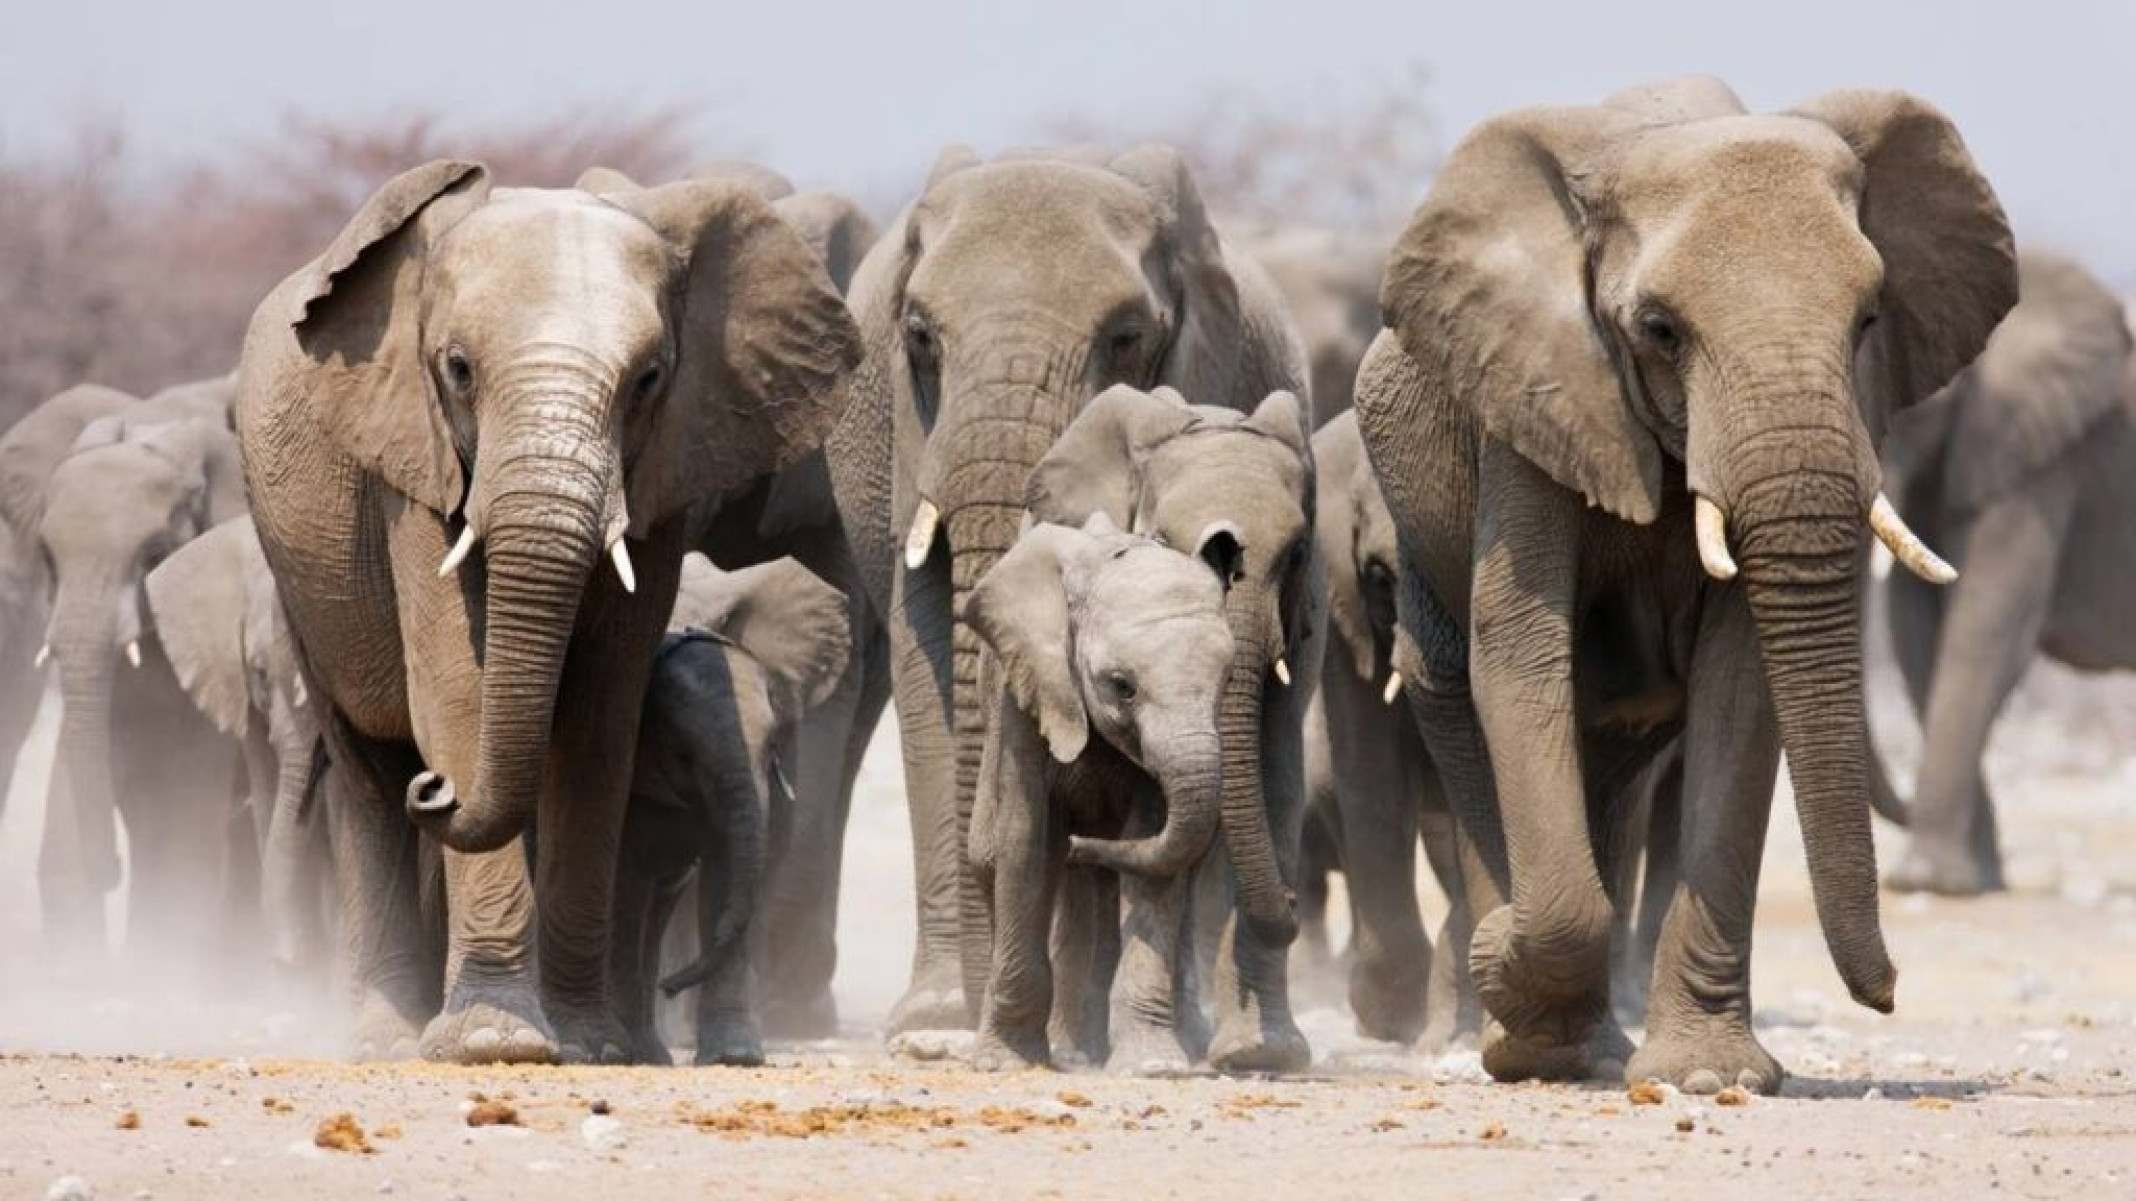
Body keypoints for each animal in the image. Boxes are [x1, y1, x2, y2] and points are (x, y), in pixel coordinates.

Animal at [611, 553, 850, 1066]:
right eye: (681, 752)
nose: (671, 986)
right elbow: (624, 874)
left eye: (773, 745)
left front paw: (734, 1057)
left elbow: (730, 869)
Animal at [964, 514, 1237, 1073]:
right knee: (989, 858)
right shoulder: (1025, 694)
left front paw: (1155, 1066)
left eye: (1227, 680)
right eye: (1121, 685)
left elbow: (1155, 864)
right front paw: (1006, 1063)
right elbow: (1024, 844)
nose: (1077, 843)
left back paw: (1080, 1052)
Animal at [1024, 383, 1324, 1071]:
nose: (1295, 903)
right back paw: (1077, 1048)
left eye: (1296, 552)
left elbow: (1274, 776)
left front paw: (1260, 1055)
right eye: (1159, 538)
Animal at [1354, 76, 2016, 1093]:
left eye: (1870, 319)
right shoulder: (1531, 397)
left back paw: (1586, 1044)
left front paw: (1706, 1077)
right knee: (1467, 710)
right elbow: (1523, 650)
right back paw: (1531, 1032)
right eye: (1660, 331)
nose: (1890, 993)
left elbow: (1742, 686)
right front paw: (1512, 988)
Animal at [1872, 252, 2136, 895]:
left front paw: (1931, 884)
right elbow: (1918, 629)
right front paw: (1964, 884)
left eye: (1915, 397)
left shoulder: (2036, 462)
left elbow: (1984, 626)